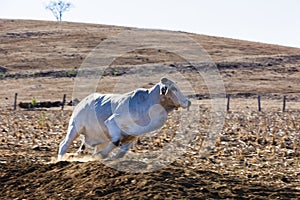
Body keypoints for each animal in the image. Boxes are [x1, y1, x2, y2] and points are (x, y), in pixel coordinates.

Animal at [57, 77, 191, 160]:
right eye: (173, 88)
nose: (188, 102)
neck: (148, 103)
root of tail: (83, 101)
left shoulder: (132, 136)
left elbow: (121, 152)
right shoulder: (112, 122)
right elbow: (116, 141)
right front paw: (102, 155)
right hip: (75, 127)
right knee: (64, 145)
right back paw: (60, 161)